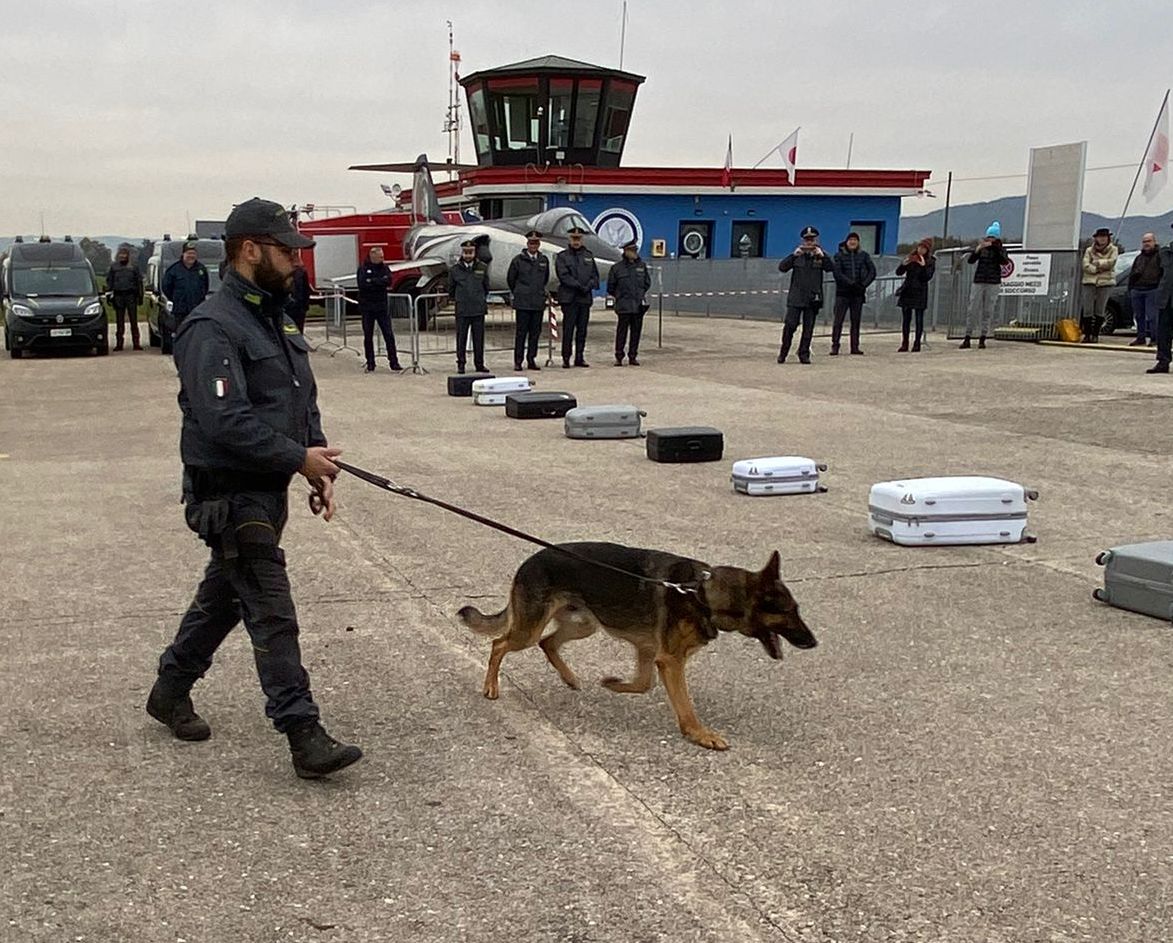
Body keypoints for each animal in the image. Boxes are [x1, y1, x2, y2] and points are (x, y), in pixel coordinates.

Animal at [457, 541, 816, 745]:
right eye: (789, 612)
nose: (813, 642)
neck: (702, 594)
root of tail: (529, 560)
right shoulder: (669, 660)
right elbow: (683, 704)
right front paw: (699, 734)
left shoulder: (649, 652)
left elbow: (644, 683)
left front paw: (614, 685)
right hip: (529, 630)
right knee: (499, 644)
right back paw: (491, 686)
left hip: (585, 624)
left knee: (548, 643)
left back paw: (570, 678)